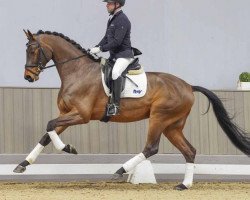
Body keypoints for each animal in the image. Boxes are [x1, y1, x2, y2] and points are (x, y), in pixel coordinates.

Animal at [13, 30, 250, 191]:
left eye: (33, 50)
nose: (29, 77)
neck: (77, 71)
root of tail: (188, 86)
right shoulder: (66, 114)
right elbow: (47, 134)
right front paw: (22, 165)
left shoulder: (81, 115)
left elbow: (50, 126)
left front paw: (68, 148)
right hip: (172, 126)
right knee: (189, 150)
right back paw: (184, 185)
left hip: (158, 118)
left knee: (151, 148)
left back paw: (120, 171)